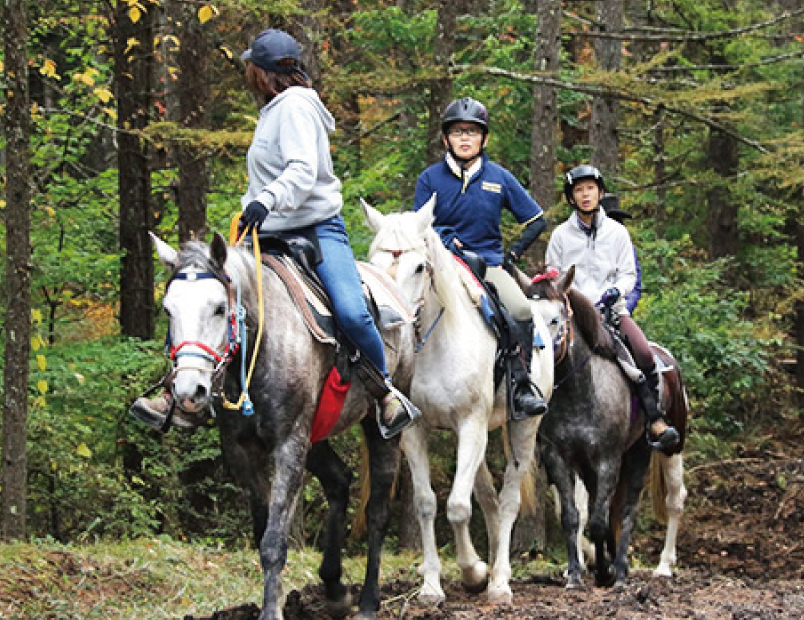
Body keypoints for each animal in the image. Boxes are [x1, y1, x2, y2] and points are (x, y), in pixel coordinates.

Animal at [149, 232, 420, 620]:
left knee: (378, 512)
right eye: (168, 310)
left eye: (218, 308)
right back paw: (334, 588)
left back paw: (368, 602)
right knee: (339, 481)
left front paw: (271, 611)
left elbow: (274, 541)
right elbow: (264, 530)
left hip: (379, 428)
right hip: (315, 437)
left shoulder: (288, 444)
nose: (188, 391)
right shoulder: (244, 451)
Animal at [362, 196, 552, 604]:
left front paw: (475, 573)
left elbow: (459, 507)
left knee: (507, 499)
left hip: (523, 426)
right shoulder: (415, 431)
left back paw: (500, 581)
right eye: (374, 262)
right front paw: (435, 585)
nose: (391, 321)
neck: (434, 343)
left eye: (419, 267)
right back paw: (490, 568)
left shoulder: (471, 423)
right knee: (487, 496)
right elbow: (428, 504)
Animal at [532, 266, 656, 588]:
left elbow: (599, 522)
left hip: (638, 454)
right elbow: (572, 518)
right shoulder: (558, 457)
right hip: (587, 466)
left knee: (626, 512)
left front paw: (603, 571)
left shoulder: (608, 458)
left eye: (555, 319)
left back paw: (620, 570)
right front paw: (575, 575)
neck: (579, 392)